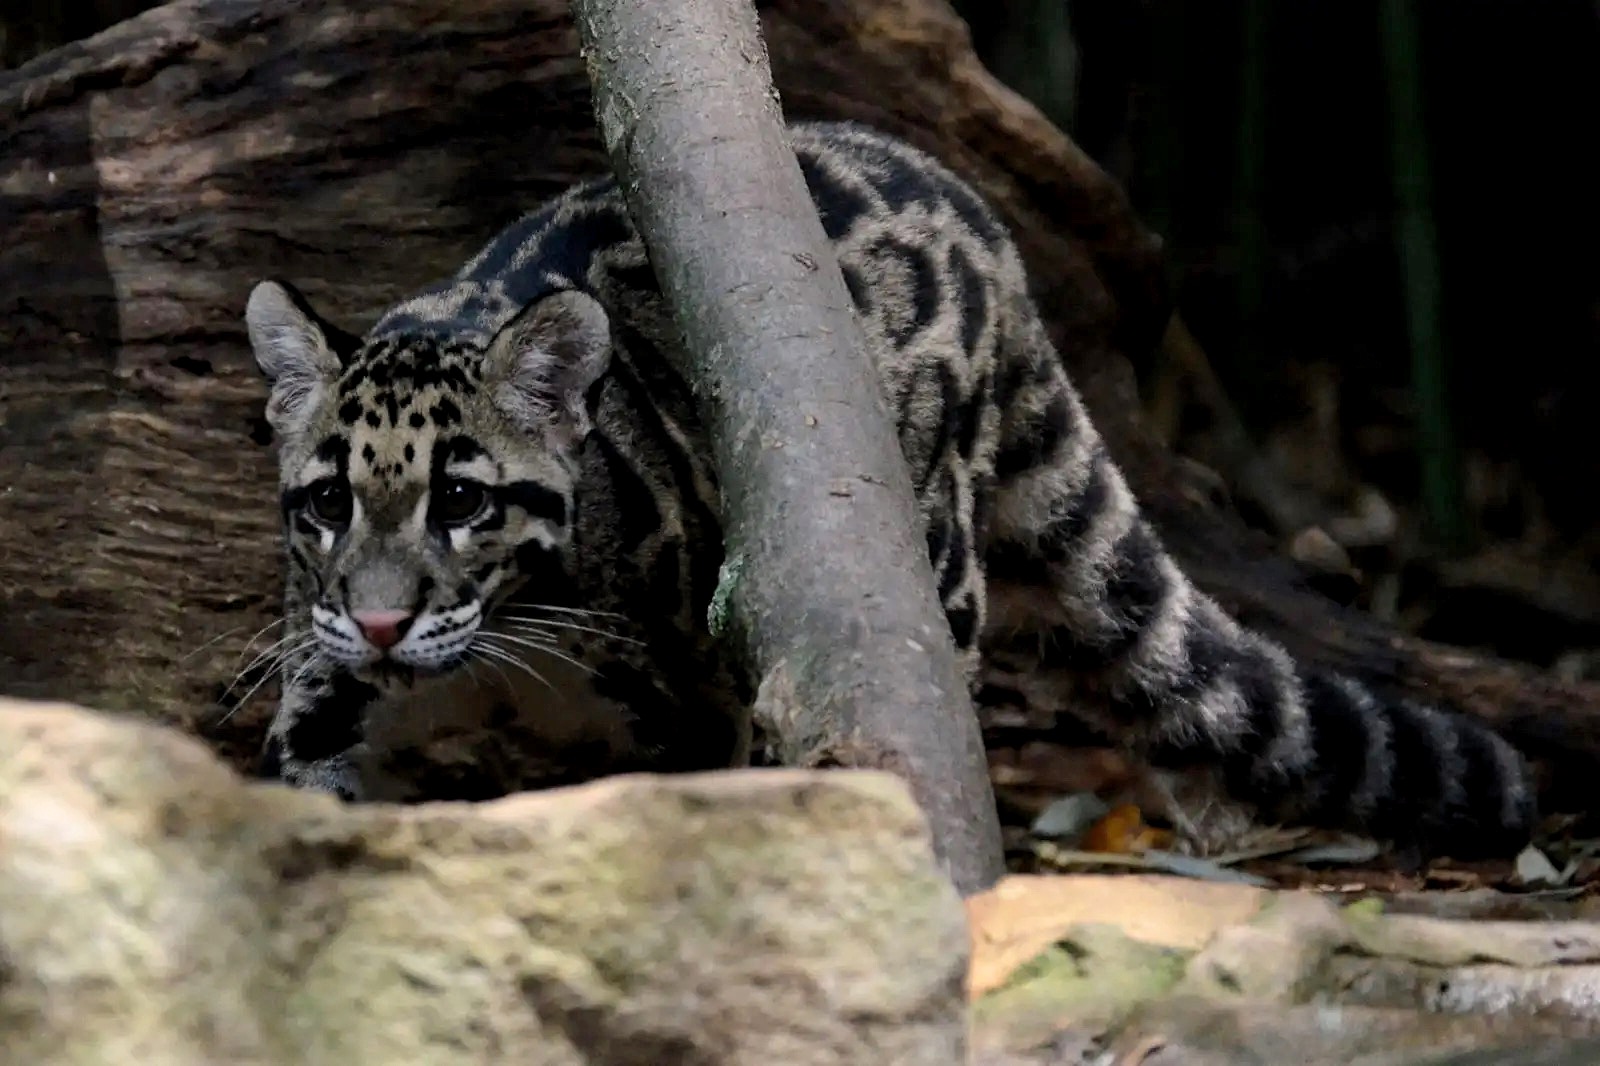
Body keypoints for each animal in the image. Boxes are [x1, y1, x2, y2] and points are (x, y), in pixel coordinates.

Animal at [243, 120, 1529, 857]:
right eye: (326, 503)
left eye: (463, 501)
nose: (379, 622)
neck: (505, 654)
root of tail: (985, 222)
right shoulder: (324, 690)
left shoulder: (696, 703)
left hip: (933, 548)